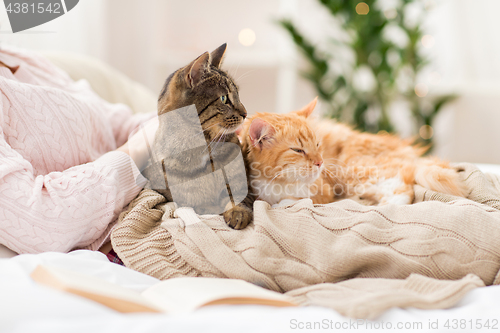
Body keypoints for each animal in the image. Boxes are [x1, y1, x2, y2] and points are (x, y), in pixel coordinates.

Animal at [144, 44, 254, 228]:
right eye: (224, 98)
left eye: (238, 94)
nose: (246, 113)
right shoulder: (169, 195)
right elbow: (196, 205)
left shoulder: (243, 184)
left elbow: (237, 197)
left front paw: (237, 212)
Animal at [240, 96, 466, 205]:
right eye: (298, 150)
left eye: (317, 145)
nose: (320, 162)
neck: (276, 183)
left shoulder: (323, 192)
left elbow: (292, 201)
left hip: (357, 169)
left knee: (401, 188)